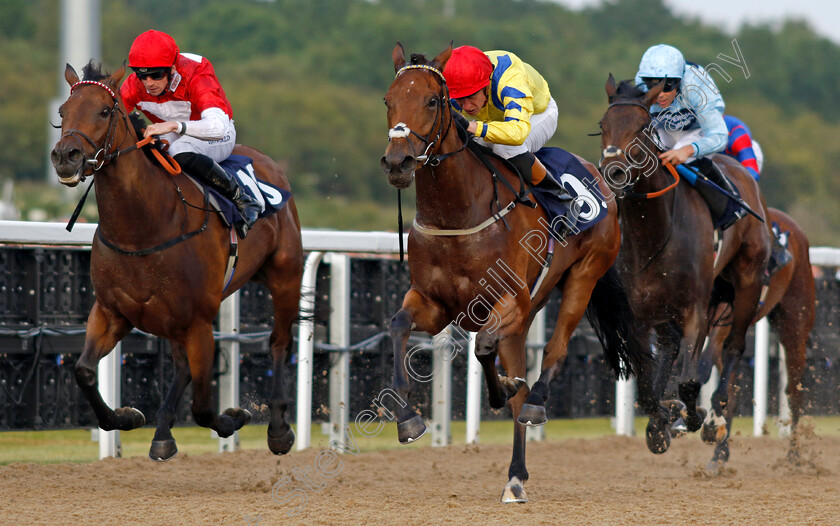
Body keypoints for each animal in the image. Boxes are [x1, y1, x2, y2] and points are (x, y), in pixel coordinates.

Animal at [46, 62, 302, 462]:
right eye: (62, 111)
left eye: (104, 111)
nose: (65, 156)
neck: (142, 229)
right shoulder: (111, 312)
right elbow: (84, 371)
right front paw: (127, 416)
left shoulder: (199, 320)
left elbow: (203, 407)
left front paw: (237, 416)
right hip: (174, 318)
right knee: (182, 366)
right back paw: (163, 433)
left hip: (285, 277)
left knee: (279, 342)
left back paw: (278, 429)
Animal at [380, 44, 664, 504]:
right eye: (388, 101)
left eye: (433, 101)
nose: (397, 161)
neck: (458, 211)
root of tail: (601, 179)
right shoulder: (433, 303)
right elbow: (398, 325)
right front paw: (408, 418)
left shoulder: (510, 300)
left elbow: (484, 347)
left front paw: (503, 389)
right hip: (531, 306)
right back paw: (515, 475)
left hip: (582, 277)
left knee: (553, 351)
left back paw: (534, 403)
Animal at [604, 76, 776, 468]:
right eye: (603, 125)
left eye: (642, 128)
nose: (615, 173)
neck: (653, 235)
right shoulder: (638, 315)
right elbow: (647, 390)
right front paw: (660, 422)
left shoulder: (695, 309)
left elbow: (689, 380)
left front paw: (693, 415)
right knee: (670, 348)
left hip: (747, 282)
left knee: (733, 348)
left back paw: (715, 420)